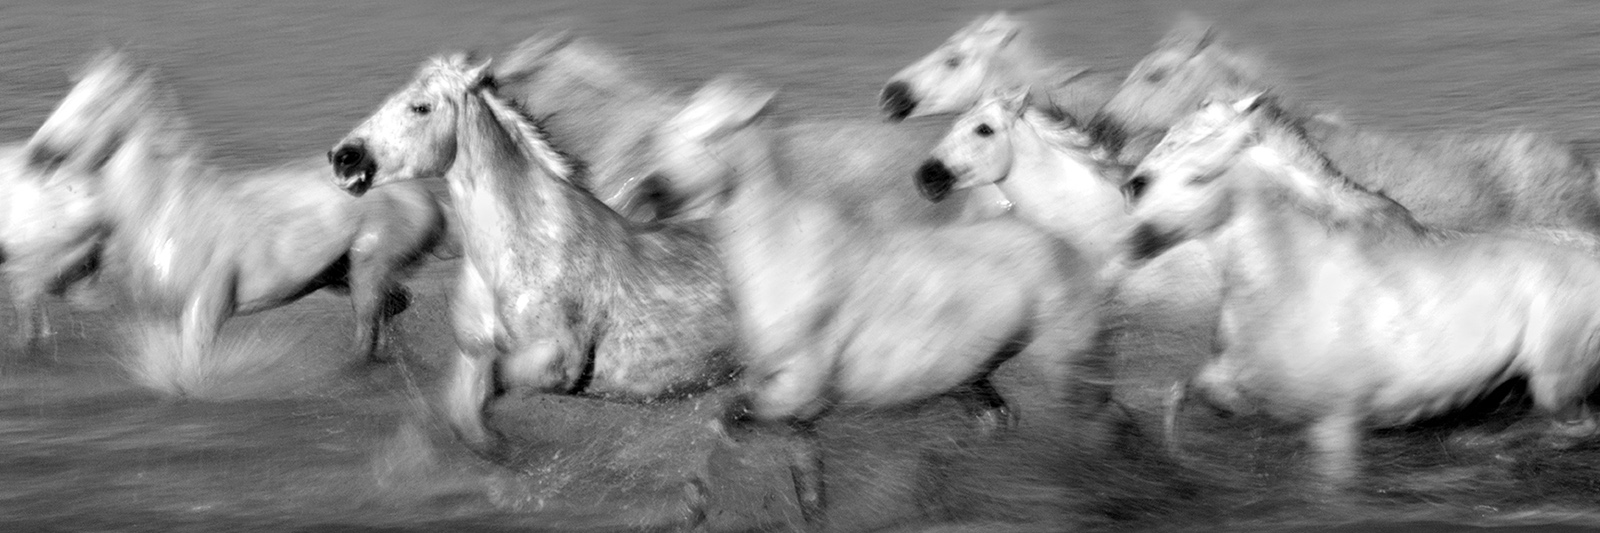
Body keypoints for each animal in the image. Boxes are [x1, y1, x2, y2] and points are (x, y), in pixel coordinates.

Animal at [23, 52, 448, 391]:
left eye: (93, 106)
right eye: (68, 98)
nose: (36, 156)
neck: (166, 211)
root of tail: (430, 201)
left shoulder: (206, 309)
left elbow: (191, 375)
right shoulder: (167, 314)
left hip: (367, 270)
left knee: (367, 337)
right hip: (340, 277)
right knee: (393, 314)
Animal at [327, 54, 740, 458]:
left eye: (420, 107)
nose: (344, 157)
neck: (518, 253)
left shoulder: (555, 363)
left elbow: (479, 401)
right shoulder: (472, 352)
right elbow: (463, 414)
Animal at [644, 74, 1117, 526]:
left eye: (715, 131)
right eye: (667, 129)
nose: (651, 193)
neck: (783, 257)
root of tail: (1066, 244)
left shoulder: (794, 393)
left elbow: (721, 424)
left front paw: (694, 506)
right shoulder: (796, 417)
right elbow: (806, 495)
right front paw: (692, 507)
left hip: (1067, 369)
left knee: (1093, 433)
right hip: (971, 378)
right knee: (998, 420)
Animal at [1123, 92, 1600, 489]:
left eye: (1198, 170)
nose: (1133, 186)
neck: (1295, 276)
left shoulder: (1335, 424)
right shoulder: (1237, 387)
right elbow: (1180, 396)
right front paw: (1178, 463)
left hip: (1556, 382)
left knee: (1573, 427)